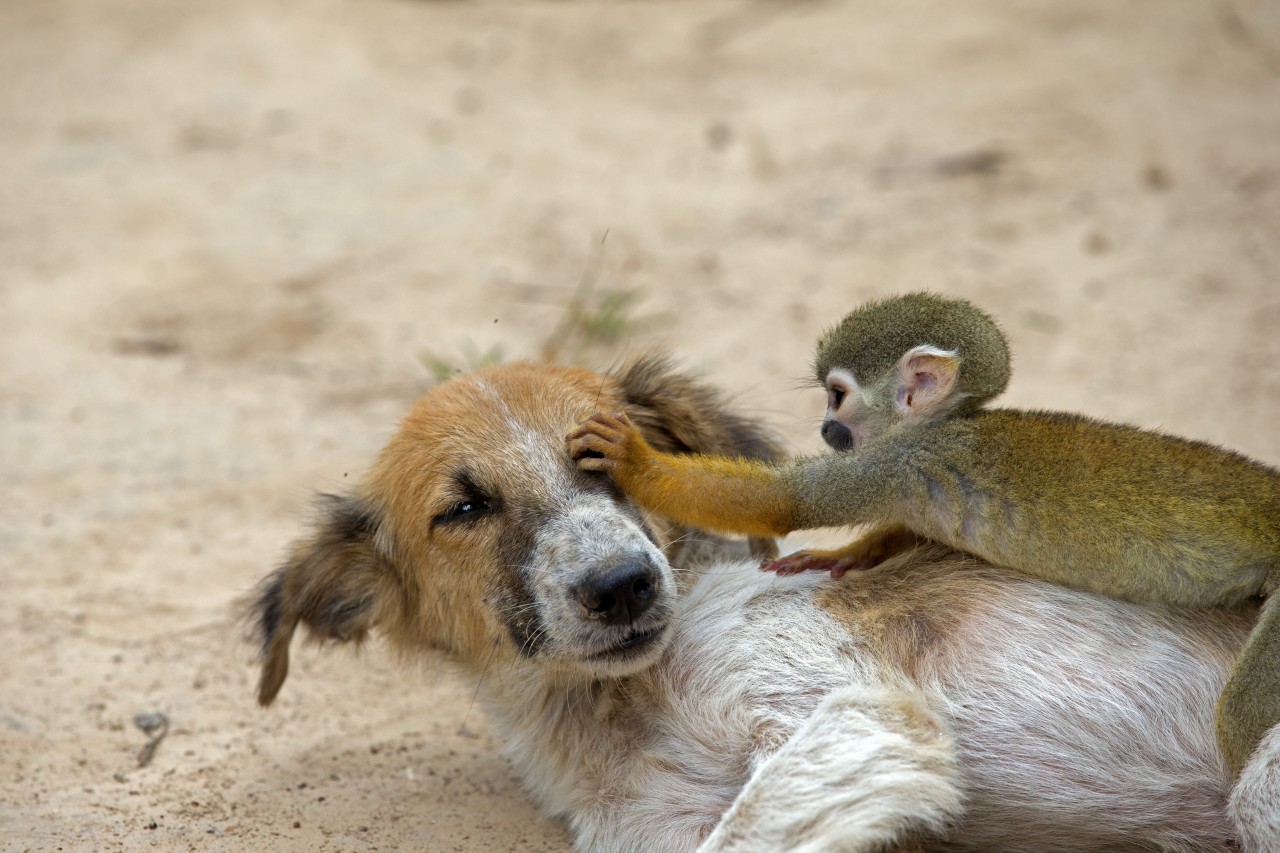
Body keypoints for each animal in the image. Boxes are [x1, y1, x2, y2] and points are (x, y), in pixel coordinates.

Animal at [249, 356, 1280, 845]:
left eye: (605, 460)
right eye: (462, 508)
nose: (622, 584)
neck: (619, 708)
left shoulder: (859, 716)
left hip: (1257, 782)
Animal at [568, 294, 1280, 778]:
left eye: (836, 397)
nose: (825, 427)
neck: (936, 428)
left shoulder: (893, 464)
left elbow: (781, 503)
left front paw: (635, 459)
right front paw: (854, 551)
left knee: (1242, 720)